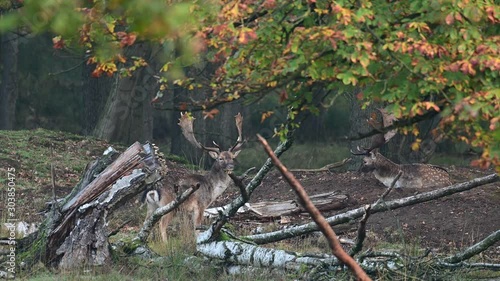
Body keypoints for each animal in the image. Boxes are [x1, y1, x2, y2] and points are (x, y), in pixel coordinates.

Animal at [145, 111, 244, 241]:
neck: (212, 190)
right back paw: (165, 243)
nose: (231, 166)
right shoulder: (200, 206)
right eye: (220, 158)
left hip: (151, 206)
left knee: (146, 224)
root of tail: (154, 188)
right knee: (162, 224)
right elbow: (197, 228)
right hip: (168, 205)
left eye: (232, 157)